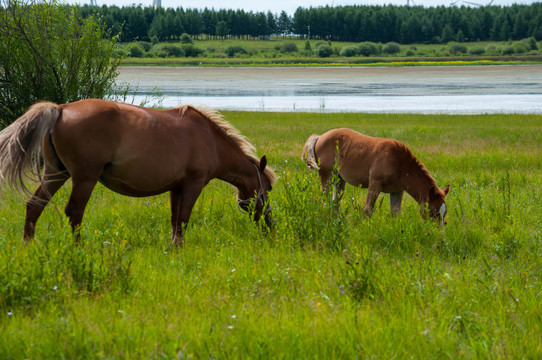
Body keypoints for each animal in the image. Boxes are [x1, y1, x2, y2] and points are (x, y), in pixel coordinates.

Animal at [0, 98, 278, 245]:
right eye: (268, 188)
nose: (270, 226)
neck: (208, 138)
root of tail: (60, 109)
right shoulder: (193, 184)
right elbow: (184, 219)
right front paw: (180, 249)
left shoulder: (176, 188)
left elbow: (175, 220)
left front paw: (174, 248)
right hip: (84, 178)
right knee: (74, 212)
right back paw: (78, 249)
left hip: (56, 173)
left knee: (34, 205)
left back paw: (28, 244)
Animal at [304, 126, 452, 222]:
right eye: (432, 211)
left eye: (444, 212)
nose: (438, 232)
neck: (398, 162)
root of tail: (320, 137)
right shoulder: (375, 184)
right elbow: (368, 210)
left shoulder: (397, 190)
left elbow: (395, 213)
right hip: (326, 175)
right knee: (326, 199)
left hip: (339, 178)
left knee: (335, 202)